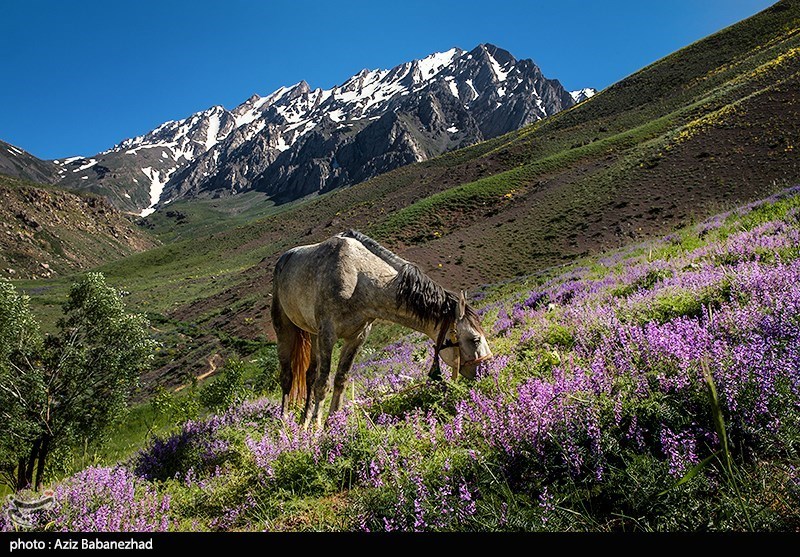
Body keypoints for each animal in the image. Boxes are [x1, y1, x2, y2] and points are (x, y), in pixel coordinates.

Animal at [272, 229, 490, 426]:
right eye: (475, 339)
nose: (486, 372)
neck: (357, 276)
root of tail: (284, 259)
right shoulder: (328, 334)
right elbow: (323, 384)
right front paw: (317, 431)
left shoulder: (357, 338)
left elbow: (341, 380)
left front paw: (331, 426)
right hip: (285, 330)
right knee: (288, 376)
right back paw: (284, 423)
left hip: (313, 334)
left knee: (309, 375)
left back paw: (304, 422)